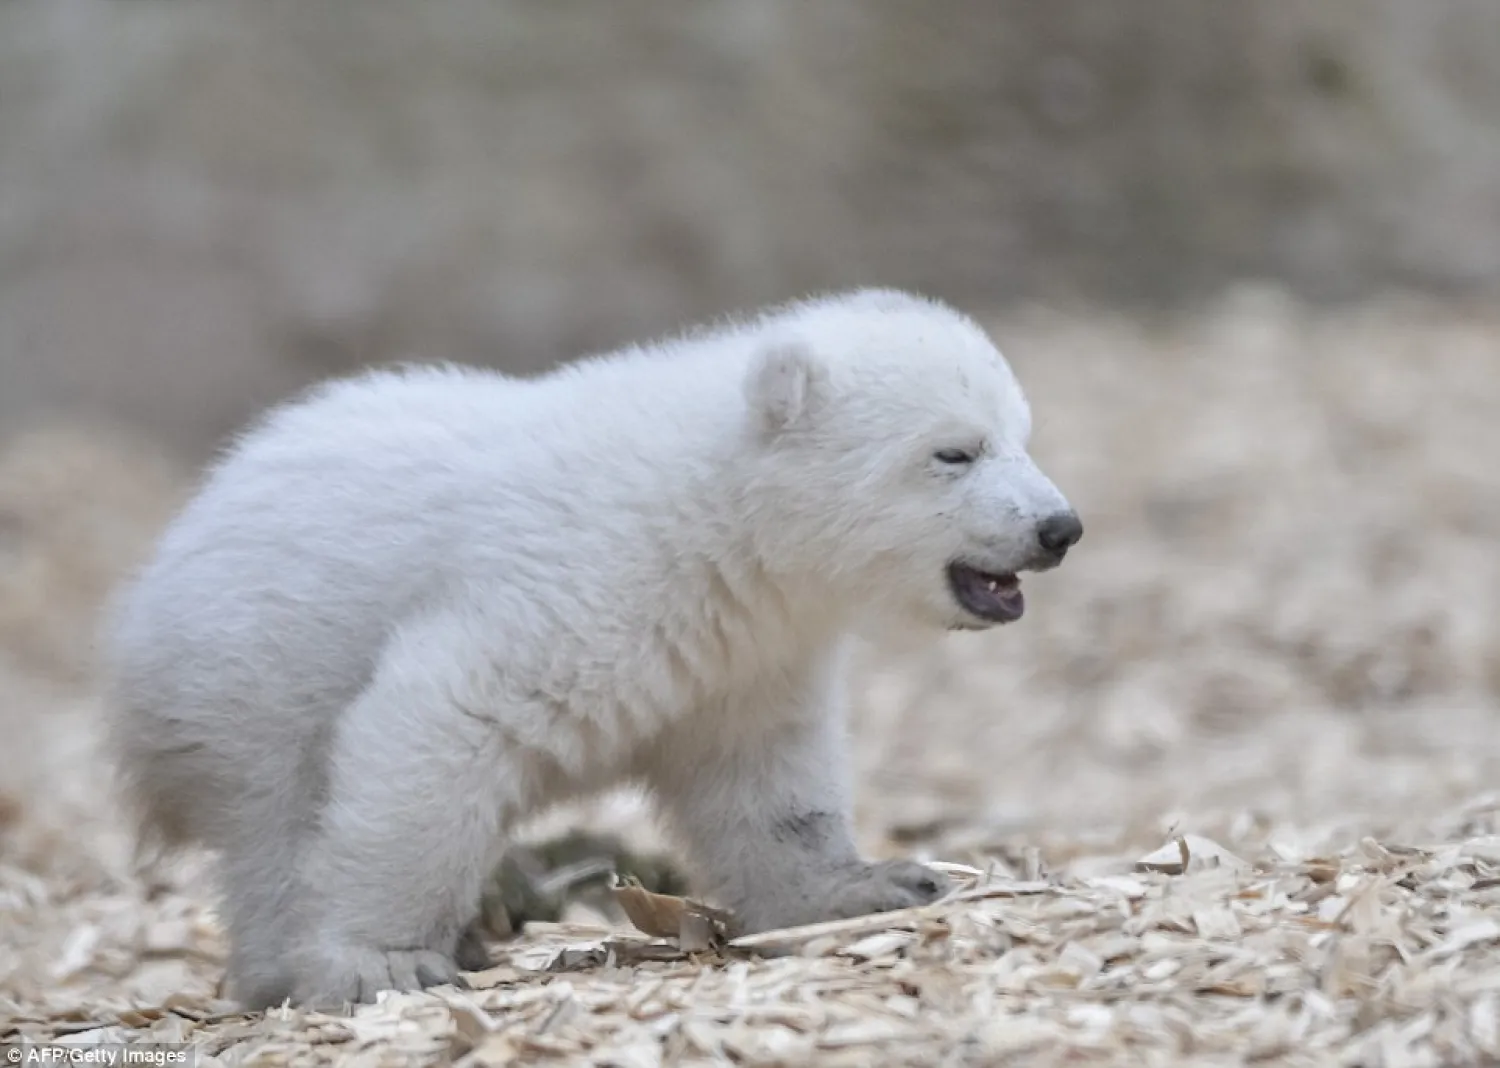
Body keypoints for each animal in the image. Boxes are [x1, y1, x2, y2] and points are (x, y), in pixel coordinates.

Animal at [103, 287, 1082, 1010]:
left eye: (1023, 434)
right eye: (954, 451)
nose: (1059, 528)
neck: (717, 517)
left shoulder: (744, 657)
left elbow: (766, 782)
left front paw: (875, 885)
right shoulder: (578, 585)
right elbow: (441, 719)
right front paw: (378, 960)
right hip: (246, 674)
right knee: (276, 820)